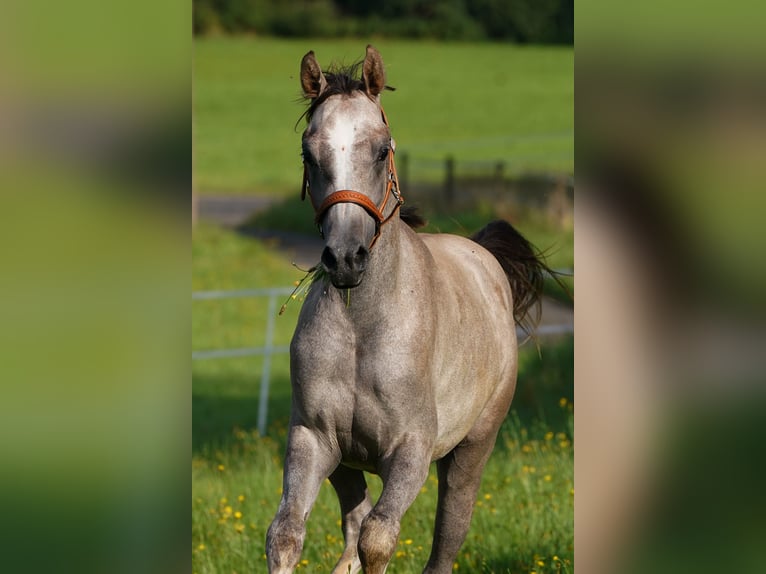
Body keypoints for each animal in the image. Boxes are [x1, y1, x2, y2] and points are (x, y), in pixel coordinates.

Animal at [268, 46, 556, 574]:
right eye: (308, 154)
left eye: (382, 150)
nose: (346, 258)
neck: (363, 329)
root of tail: (483, 255)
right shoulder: (315, 440)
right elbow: (288, 534)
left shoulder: (410, 452)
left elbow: (378, 538)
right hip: (346, 465)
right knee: (352, 525)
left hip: (470, 452)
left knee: (445, 537)